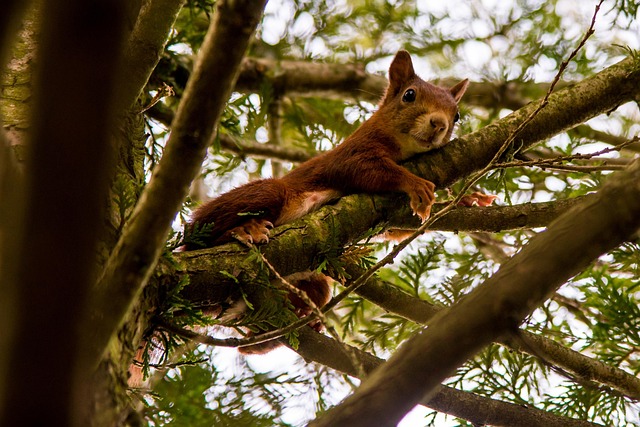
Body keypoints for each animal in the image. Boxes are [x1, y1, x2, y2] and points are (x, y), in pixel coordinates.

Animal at [186, 50, 469, 353]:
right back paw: (244, 229)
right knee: (200, 236)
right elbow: (367, 170)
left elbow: (395, 230)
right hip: (263, 195)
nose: (439, 124)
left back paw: (282, 327)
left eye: (457, 115)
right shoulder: (350, 154)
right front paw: (415, 183)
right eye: (409, 95)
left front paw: (468, 200)